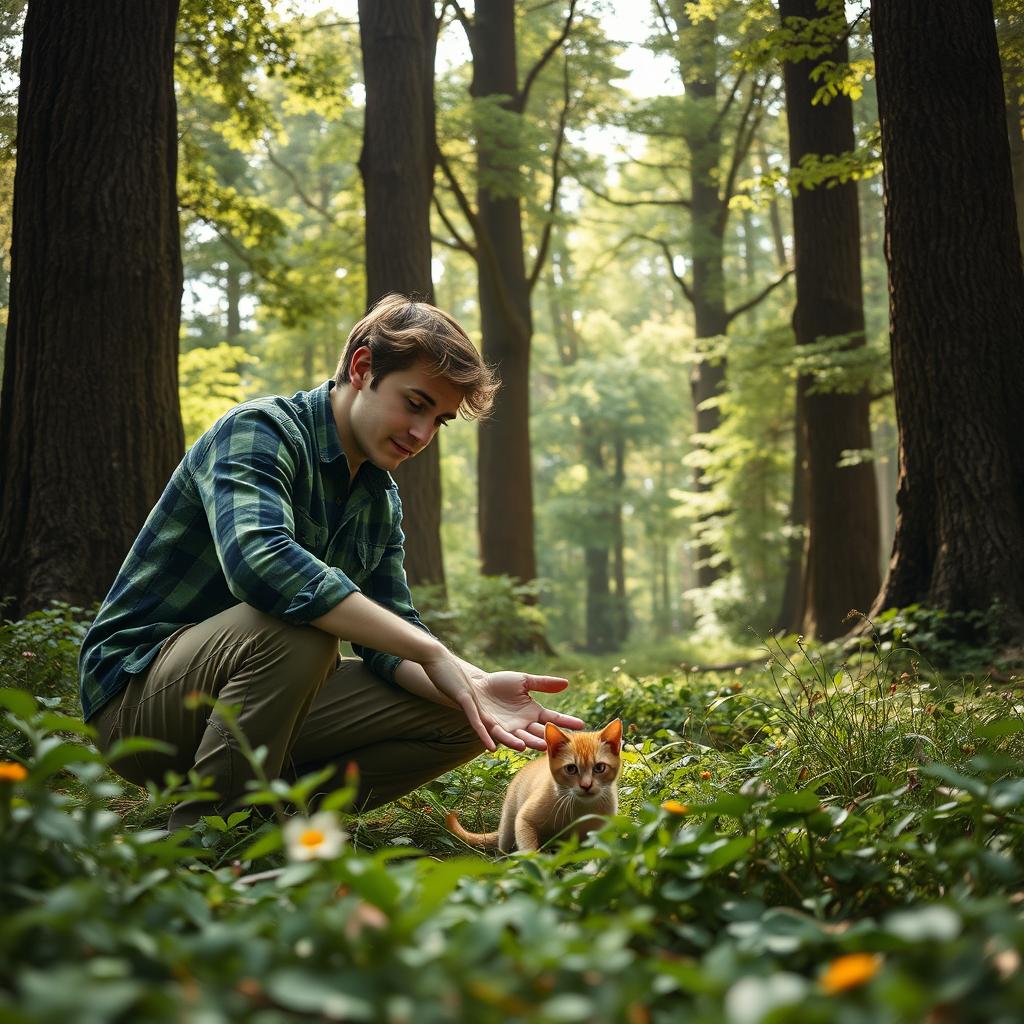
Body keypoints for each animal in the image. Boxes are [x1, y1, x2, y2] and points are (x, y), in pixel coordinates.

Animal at [444, 716, 618, 851]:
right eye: (571, 769)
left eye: (599, 768)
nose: (586, 786)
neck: (582, 808)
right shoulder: (524, 819)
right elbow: (527, 845)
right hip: (508, 823)